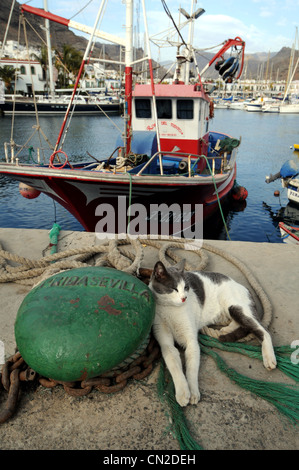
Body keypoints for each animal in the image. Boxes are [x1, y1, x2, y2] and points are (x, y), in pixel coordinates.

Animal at [143, 260, 276, 408]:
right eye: (174, 289)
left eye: (186, 287)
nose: (184, 298)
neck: (170, 309)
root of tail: (243, 287)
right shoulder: (165, 342)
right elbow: (174, 366)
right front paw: (183, 392)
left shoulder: (191, 342)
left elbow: (191, 369)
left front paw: (193, 392)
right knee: (239, 323)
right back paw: (225, 330)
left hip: (235, 307)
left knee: (263, 330)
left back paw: (269, 358)